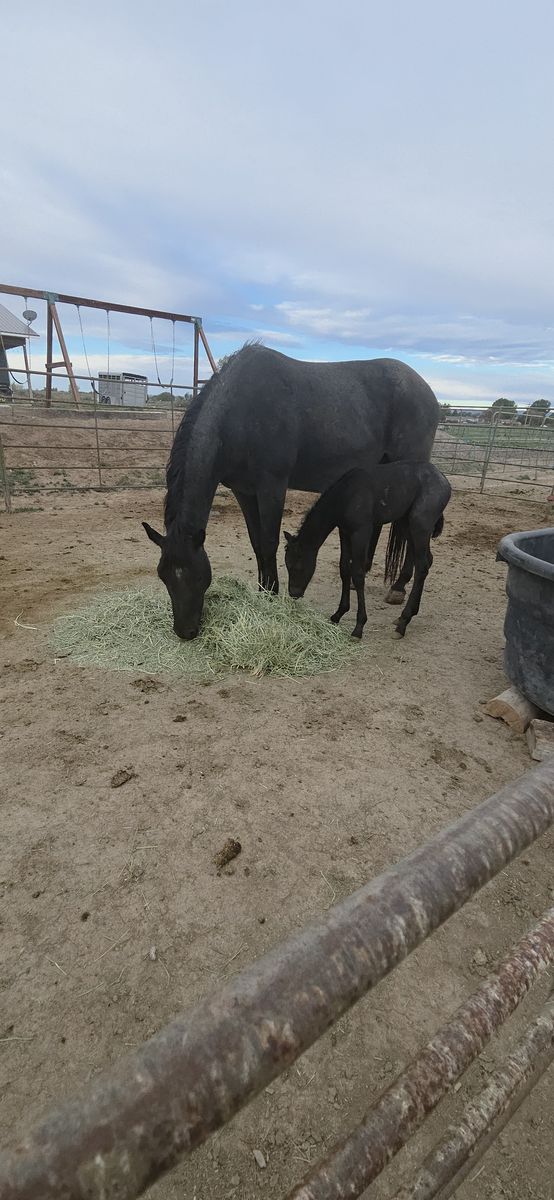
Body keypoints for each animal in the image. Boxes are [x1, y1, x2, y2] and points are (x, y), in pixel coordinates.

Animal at [284, 462, 451, 640]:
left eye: (299, 567)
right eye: (287, 565)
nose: (294, 593)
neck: (347, 495)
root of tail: (443, 480)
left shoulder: (361, 532)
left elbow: (357, 573)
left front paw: (359, 627)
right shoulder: (345, 532)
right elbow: (344, 568)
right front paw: (338, 614)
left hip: (420, 525)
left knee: (422, 567)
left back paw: (403, 623)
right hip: (406, 523)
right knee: (428, 559)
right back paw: (403, 618)